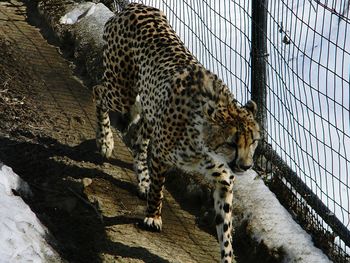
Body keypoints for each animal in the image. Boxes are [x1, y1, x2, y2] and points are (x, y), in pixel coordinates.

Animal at [93, 3, 260, 262]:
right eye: (232, 143)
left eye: (253, 142)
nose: (245, 166)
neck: (204, 142)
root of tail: (134, 6)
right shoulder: (162, 156)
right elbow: (159, 190)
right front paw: (153, 216)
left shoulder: (224, 179)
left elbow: (225, 227)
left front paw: (228, 255)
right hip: (122, 92)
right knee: (98, 91)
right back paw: (105, 142)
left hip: (150, 106)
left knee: (139, 138)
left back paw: (142, 179)